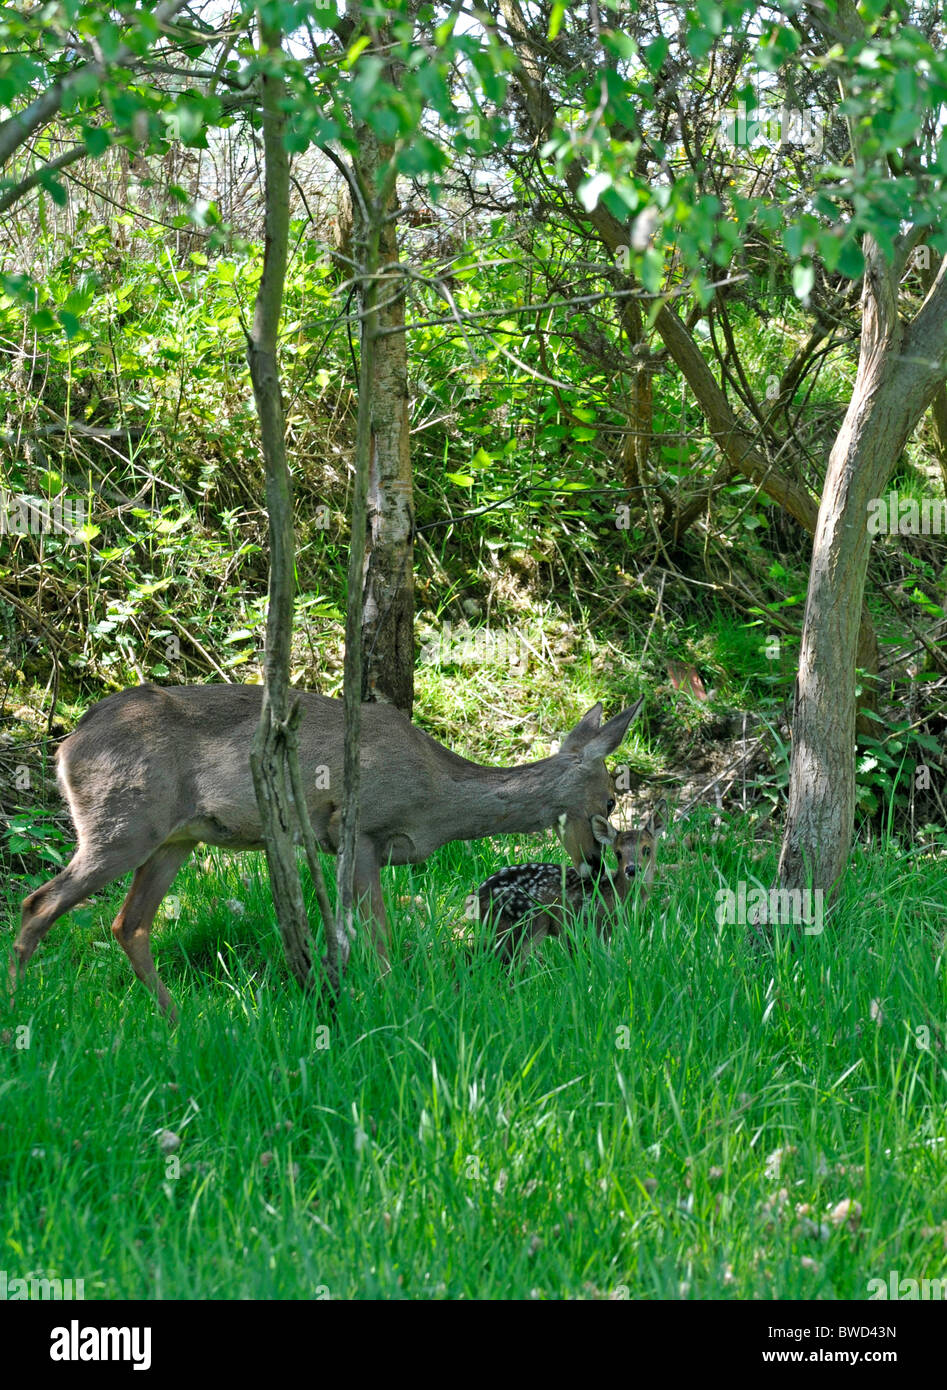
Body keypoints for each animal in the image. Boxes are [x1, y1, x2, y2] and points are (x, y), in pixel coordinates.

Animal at [9, 686, 642, 1023]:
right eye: (611, 800)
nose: (595, 867)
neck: (437, 797)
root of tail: (66, 745)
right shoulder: (357, 831)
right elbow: (377, 937)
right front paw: (390, 1003)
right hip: (122, 824)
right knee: (38, 903)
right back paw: (19, 1013)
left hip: (174, 838)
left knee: (129, 923)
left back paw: (178, 1019)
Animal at [472, 800, 664, 961]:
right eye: (618, 854)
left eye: (646, 849)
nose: (631, 869)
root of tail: (476, 896)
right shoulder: (582, 922)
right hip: (526, 919)